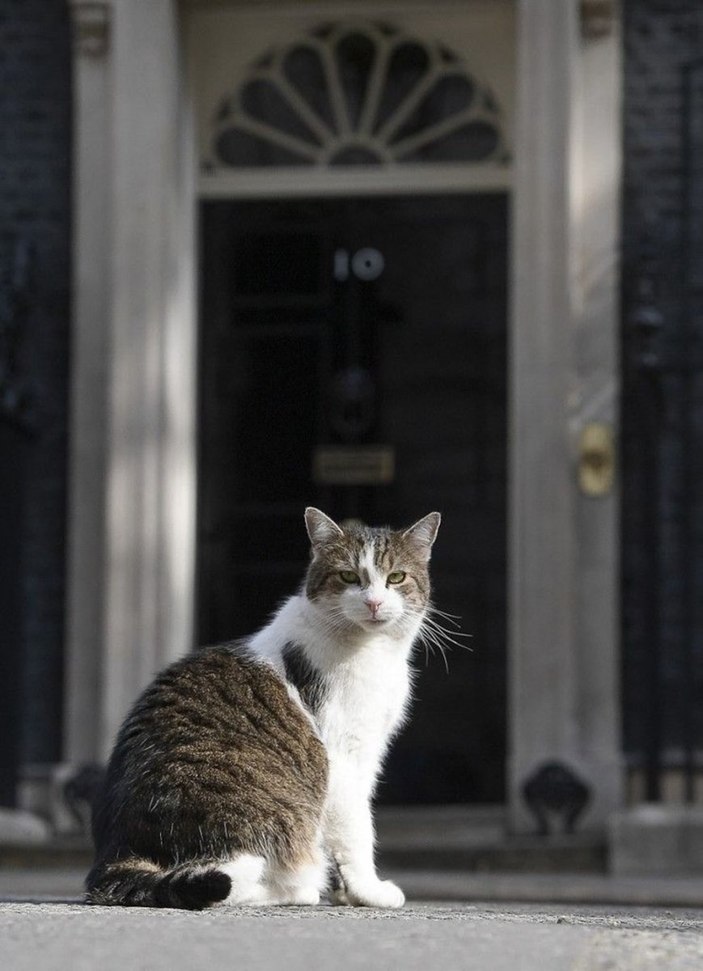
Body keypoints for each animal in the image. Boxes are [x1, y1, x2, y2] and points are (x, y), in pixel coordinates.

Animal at [84, 508, 440, 912]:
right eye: (349, 576)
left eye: (396, 578)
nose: (374, 603)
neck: (374, 650)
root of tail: (115, 855)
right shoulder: (344, 758)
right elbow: (357, 829)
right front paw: (370, 890)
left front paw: (345, 893)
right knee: (233, 875)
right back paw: (299, 888)